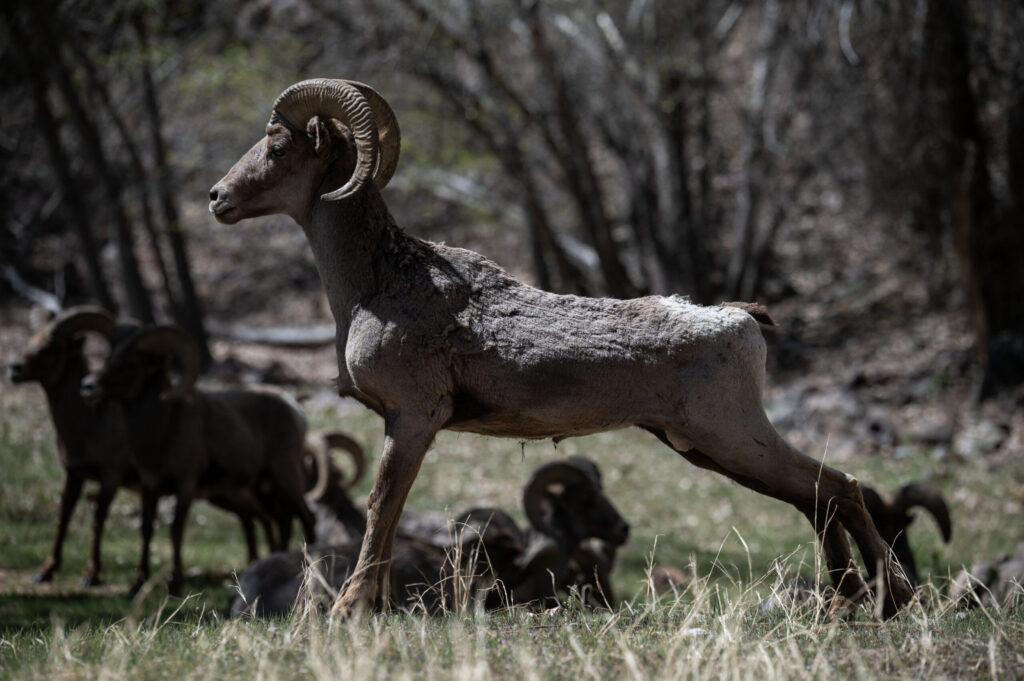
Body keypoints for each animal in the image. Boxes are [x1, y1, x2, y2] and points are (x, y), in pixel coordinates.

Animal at [80, 324, 316, 595]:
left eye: (130, 364)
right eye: (109, 357)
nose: (88, 386)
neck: (162, 432)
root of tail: (295, 410)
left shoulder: (185, 485)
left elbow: (176, 531)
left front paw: (175, 583)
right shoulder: (150, 486)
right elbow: (146, 529)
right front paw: (138, 583)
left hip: (285, 478)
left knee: (307, 518)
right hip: (261, 489)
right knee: (281, 522)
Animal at [208, 78, 915, 618]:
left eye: (278, 145)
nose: (218, 198)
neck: (374, 283)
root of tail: (737, 320)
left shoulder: (411, 422)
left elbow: (382, 511)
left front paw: (350, 613)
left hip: (732, 436)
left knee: (838, 487)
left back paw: (890, 601)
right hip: (711, 448)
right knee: (816, 496)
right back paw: (852, 602)